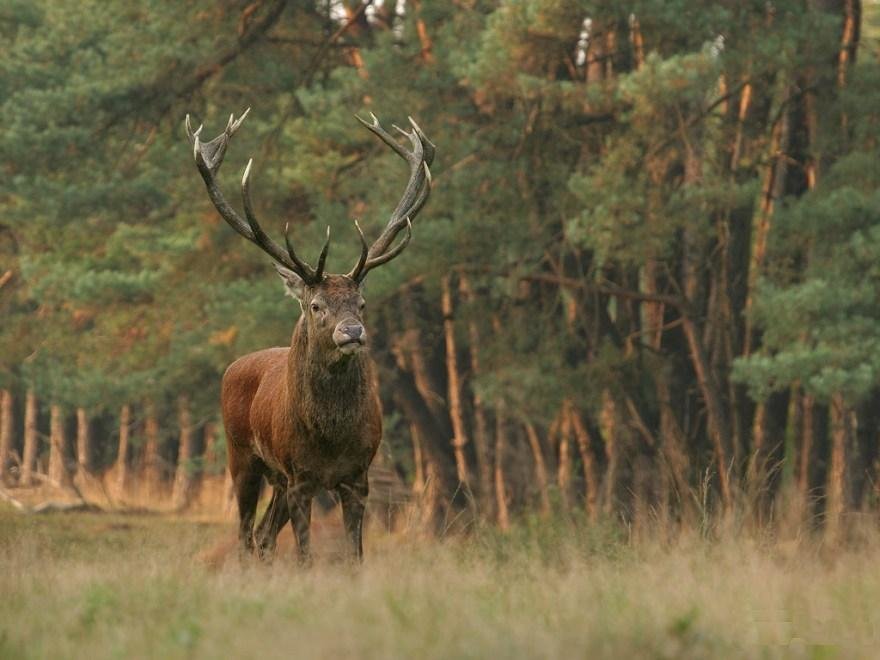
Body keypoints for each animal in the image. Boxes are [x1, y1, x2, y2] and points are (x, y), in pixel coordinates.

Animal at [186, 109, 434, 564]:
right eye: (316, 305)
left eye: (361, 302)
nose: (352, 331)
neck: (330, 440)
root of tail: (235, 365)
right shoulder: (300, 476)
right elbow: (304, 555)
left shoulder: (357, 478)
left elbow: (355, 556)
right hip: (242, 457)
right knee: (246, 536)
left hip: (279, 481)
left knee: (264, 537)